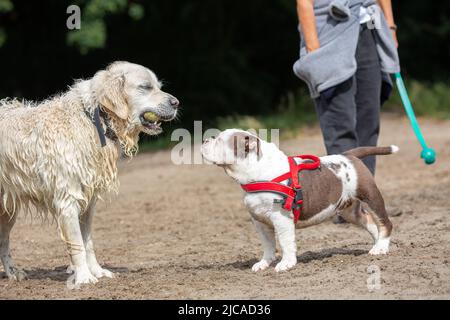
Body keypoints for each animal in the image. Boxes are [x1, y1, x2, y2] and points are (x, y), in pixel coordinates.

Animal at [0, 62, 179, 284]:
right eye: (145, 87)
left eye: (158, 86)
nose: (176, 103)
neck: (95, 120)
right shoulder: (68, 199)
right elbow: (77, 244)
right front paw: (84, 277)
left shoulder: (88, 201)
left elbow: (88, 242)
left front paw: (97, 271)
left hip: (8, 210)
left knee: (3, 240)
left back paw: (12, 272)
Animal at [202, 130, 396, 272]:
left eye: (220, 140)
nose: (205, 139)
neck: (255, 172)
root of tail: (349, 155)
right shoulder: (259, 221)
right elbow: (268, 244)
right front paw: (264, 263)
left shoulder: (281, 218)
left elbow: (285, 242)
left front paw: (286, 264)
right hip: (348, 210)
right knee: (369, 222)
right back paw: (377, 244)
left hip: (370, 196)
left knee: (384, 222)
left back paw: (381, 247)